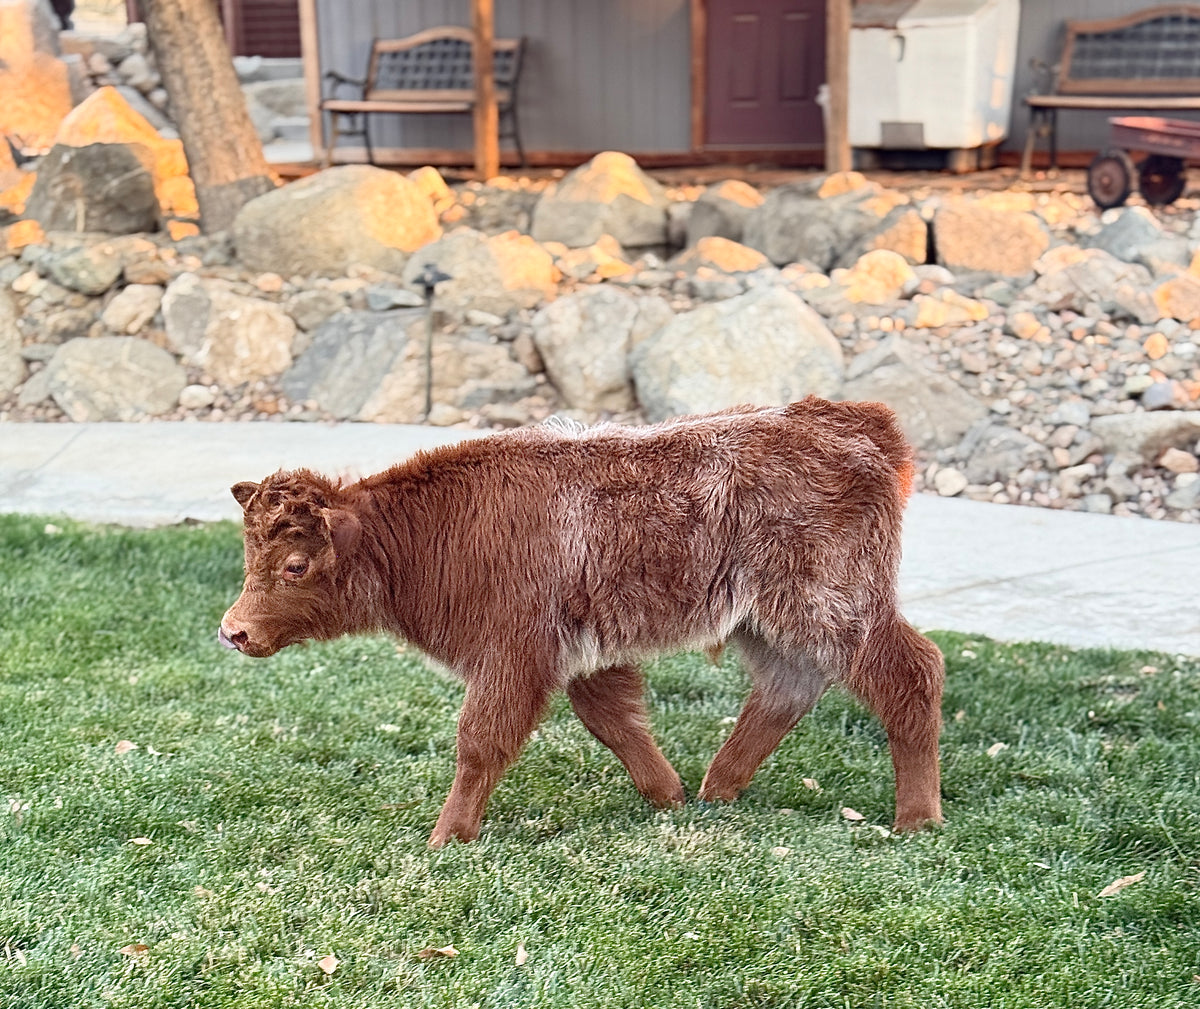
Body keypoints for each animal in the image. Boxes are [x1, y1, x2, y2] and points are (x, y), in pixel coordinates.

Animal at [219, 398, 944, 847]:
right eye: (251, 556)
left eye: (293, 565)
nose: (234, 631)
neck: (436, 529)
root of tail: (856, 420)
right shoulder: (582, 654)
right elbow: (614, 721)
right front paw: (668, 795)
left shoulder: (512, 656)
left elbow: (480, 739)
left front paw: (447, 835)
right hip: (770, 621)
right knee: (789, 688)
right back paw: (716, 789)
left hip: (837, 606)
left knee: (912, 672)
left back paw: (917, 818)